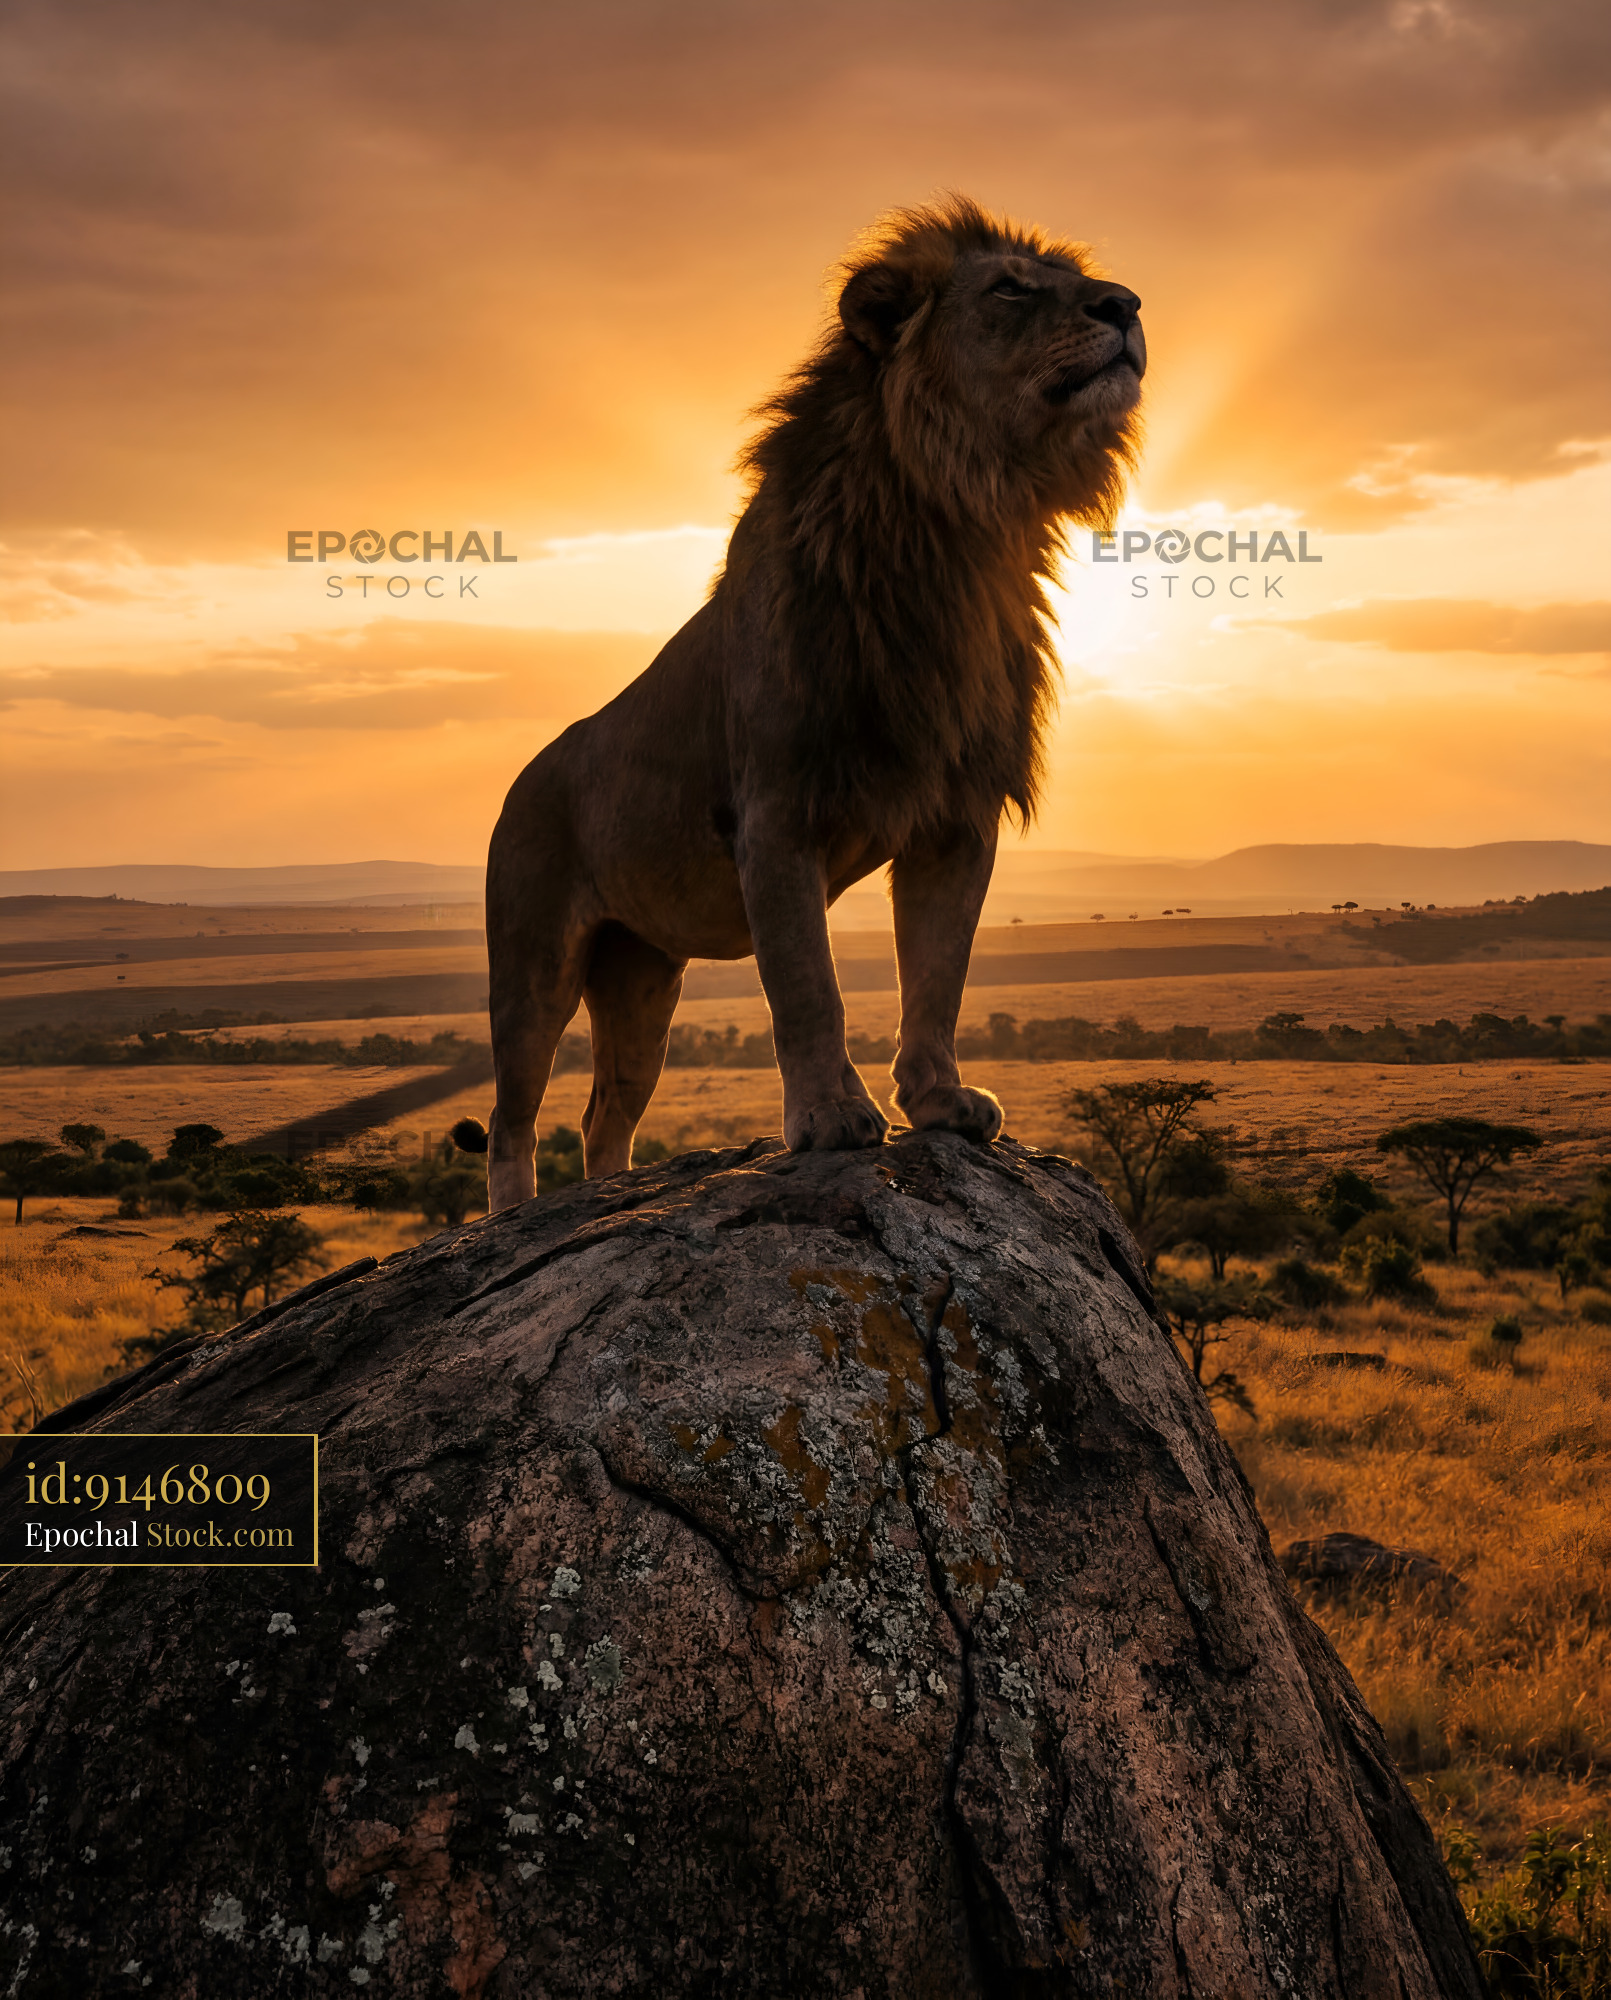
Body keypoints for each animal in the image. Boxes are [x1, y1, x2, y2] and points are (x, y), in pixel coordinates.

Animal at [454, 195, 1144, 1210]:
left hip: (642, 978)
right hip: (533, 962)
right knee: (513, 1118)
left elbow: (936, 974)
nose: (1126, 304)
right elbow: (807, 983)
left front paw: (938, 1104)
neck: (959, 523)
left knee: (604, 1112)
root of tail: (520, 779)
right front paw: (829, 1121)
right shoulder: (776, 811)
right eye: (1012, 290)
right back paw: (516, 1219)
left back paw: (608, 1197)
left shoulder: (956, 818)